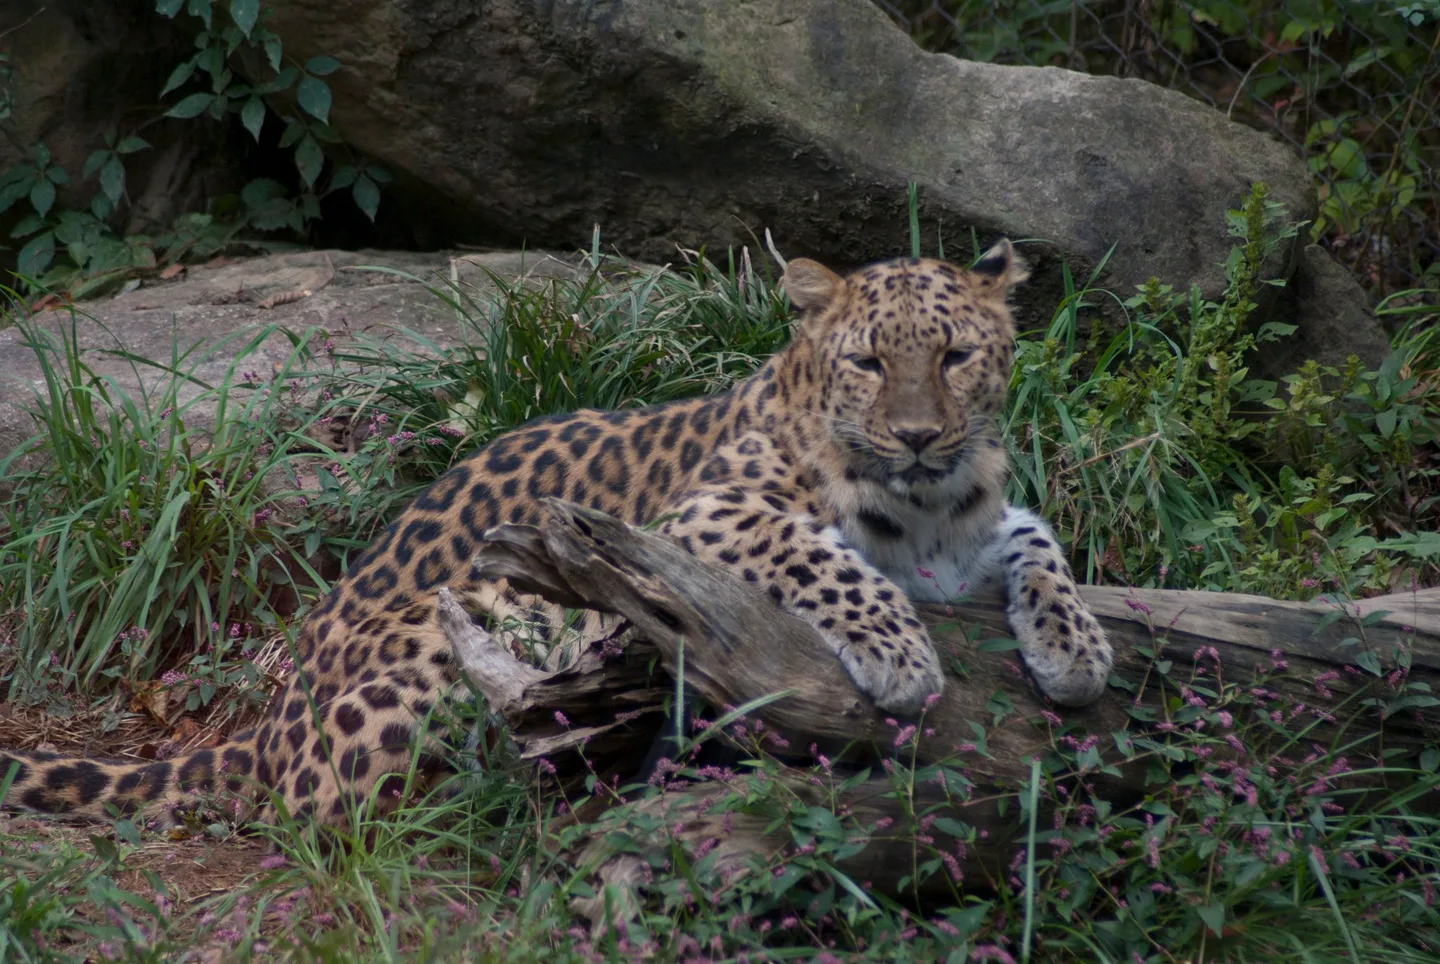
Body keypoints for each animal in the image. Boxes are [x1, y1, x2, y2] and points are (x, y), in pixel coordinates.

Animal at [0, 240, 1113, 829]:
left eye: (956, 355)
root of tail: (267, 720)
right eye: (871, 363)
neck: (926, 505)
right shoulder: (700, 513)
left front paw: (1076, 648)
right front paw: (899, 655)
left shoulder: (974, 526)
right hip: (461, 628)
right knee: (328, 803)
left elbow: (1039, 540)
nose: (919, 434)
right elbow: (823, 554)